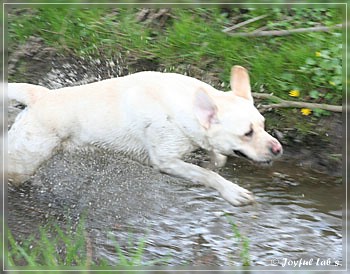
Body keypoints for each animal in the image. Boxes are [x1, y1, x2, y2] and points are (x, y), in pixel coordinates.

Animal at [7, 66, 282, 206]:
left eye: (263, 125)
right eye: (247, 133)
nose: (278, 149)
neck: (184, 106)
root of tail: (40, 96)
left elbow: (217, 160)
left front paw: (213, 161)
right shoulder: (165, 161)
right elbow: (208, 175)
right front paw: (233, 192)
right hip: (23, 160)